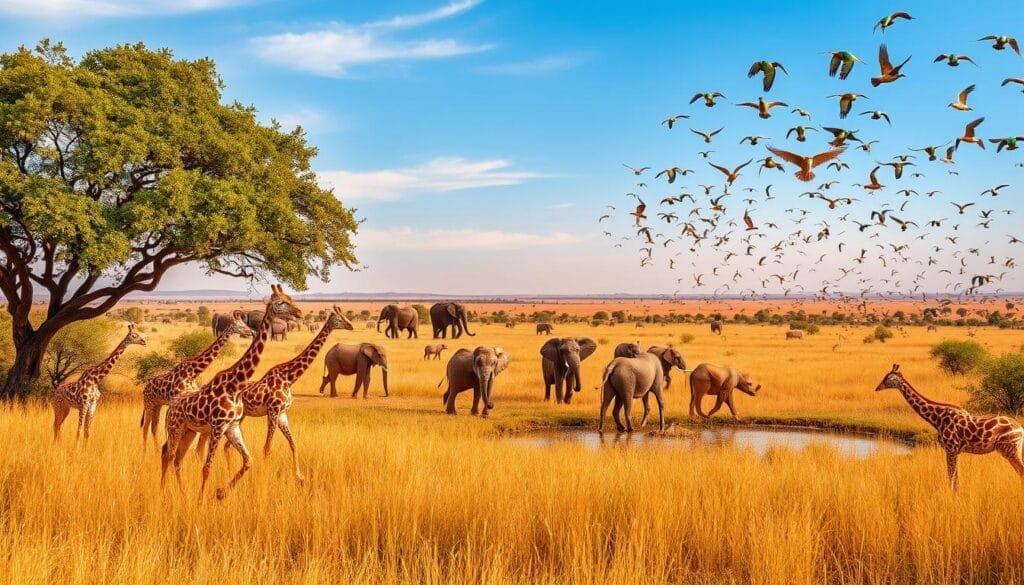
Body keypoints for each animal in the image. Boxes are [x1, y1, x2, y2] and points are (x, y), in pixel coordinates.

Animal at [140, 311, 253, 448]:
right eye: (240, 325)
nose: (250, 332)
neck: (192, 372)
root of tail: (145, 387)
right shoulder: (176, 399)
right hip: (149, 403)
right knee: (146, 428)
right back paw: (145, 450)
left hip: (157, 404)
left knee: (154, 428)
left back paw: (155, 449)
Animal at [160, 284, 302, 502]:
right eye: (280, 303)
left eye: (290, 298)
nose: (299, 313)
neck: (235, 385)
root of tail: (171, 407)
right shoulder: (218, 426)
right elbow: (207, 467)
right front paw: (201, 501)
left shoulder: (232, 426)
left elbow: (248, 460)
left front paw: (220, 493)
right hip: (175, 428)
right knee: (168, 455)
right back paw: (163, 492)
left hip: (188, 431)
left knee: (176, 459)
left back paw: (181, 493)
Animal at [235, 305, 353, 484]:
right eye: (339, 319)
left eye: (345, 317)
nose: (351, 325)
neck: (289, 378)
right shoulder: (273, 411)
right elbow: (267, 448)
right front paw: (266, 477)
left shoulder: (282, 414)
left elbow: (293, 444)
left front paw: (299, 476)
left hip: (242, 416)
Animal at [876, 363, 1024, 490]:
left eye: (888, 377)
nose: (877, 388)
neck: (937, 418)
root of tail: (1021, 429)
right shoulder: (954, 451)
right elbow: (955, 480)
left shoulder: (951, 449)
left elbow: (952, 479)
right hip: (1014, 450)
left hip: (1009, 450)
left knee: (1021, 473)